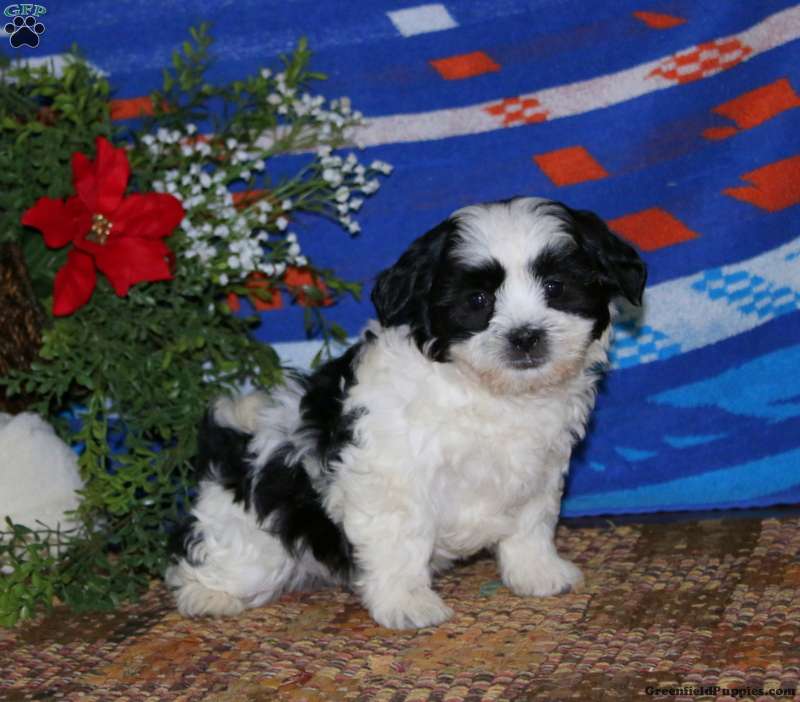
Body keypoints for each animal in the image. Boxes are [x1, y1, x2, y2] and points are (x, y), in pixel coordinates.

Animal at [166, 196, 646, 629]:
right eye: (477, 300)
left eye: (556, 288)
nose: (525, 336)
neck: (484, 391)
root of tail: (229, 449)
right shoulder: (390, 473)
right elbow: (401, 539)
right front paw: (406, 603)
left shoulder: (539, 468)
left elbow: (532, 523)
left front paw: (537, 572)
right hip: (254, 540)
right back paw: (207, 595)